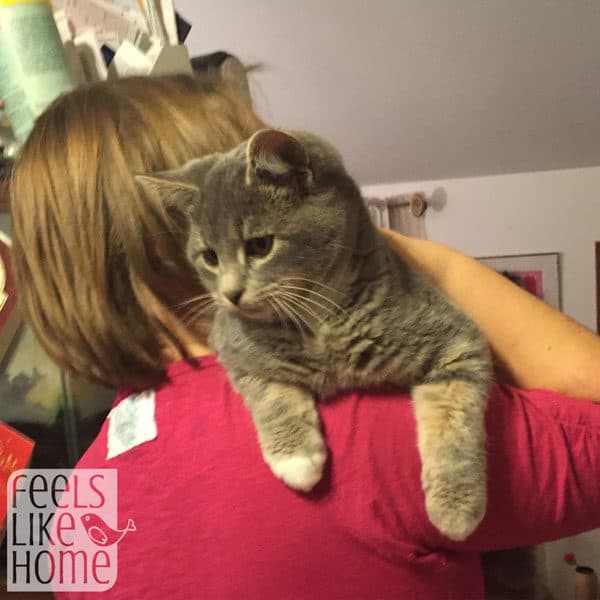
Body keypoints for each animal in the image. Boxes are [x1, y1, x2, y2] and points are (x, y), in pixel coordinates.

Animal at [139, 129, 492, 540]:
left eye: (260, 245)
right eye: (209, 256)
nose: (230, 294)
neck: (318, 323)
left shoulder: (457, 342)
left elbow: (455, 424)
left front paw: (456, 507)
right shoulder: (232, 348)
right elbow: (270, 391)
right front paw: (296, 458)